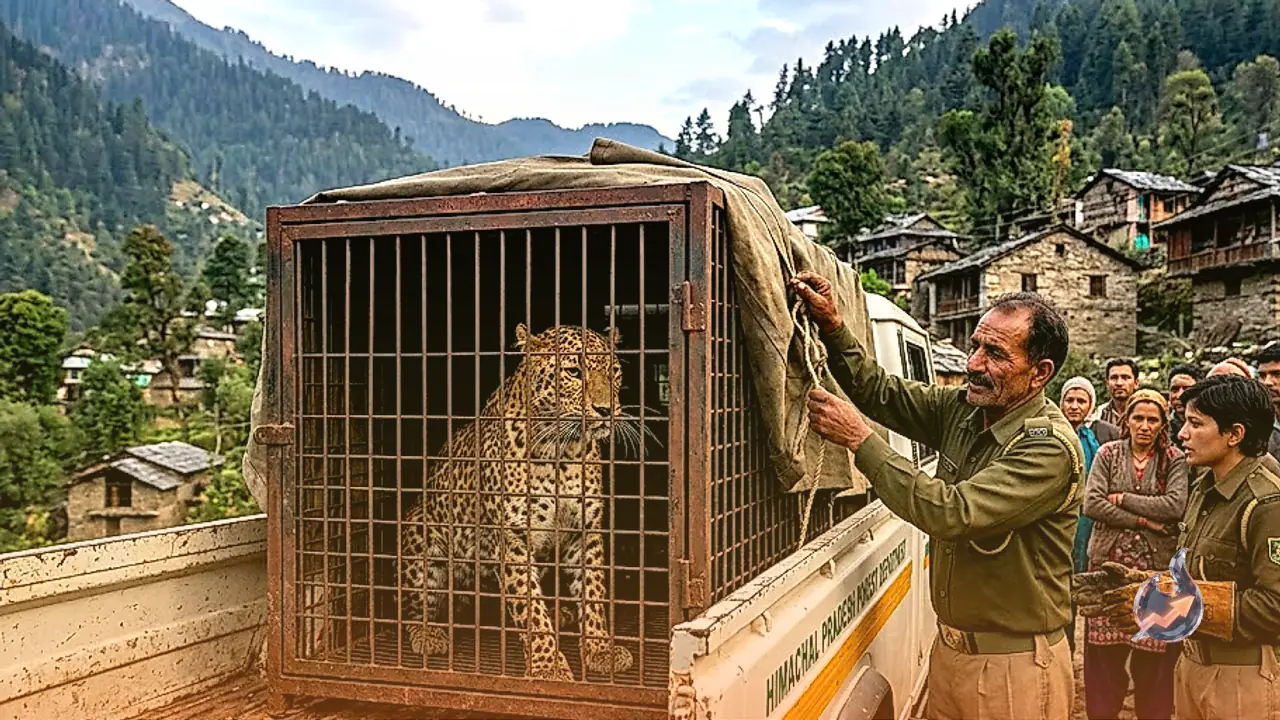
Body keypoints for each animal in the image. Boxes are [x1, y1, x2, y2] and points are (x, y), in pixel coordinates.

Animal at [400, 323, 643, 682]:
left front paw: (600, 648)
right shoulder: (513, 538)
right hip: (420, 531)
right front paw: (548, 666)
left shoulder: (584, 531)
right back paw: (428, 633)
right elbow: (530, 607)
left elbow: (593, 591)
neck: (561, 452)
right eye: (574, 372)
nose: (605, 410)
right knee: (415, 606)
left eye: (613, 372)